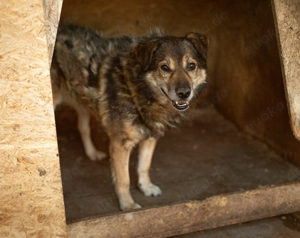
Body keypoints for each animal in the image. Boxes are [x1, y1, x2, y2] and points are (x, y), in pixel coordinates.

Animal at [50, 24, 207, 210]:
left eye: (191, 66)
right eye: (164, 68)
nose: (184, 93)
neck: (138, 89)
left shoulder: (151, 137)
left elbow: (144, 167)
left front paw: (146, 187)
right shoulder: (120, 144)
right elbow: (123, 179)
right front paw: (127, 204)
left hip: (83, 100)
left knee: (82, 127)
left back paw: (92, 153)